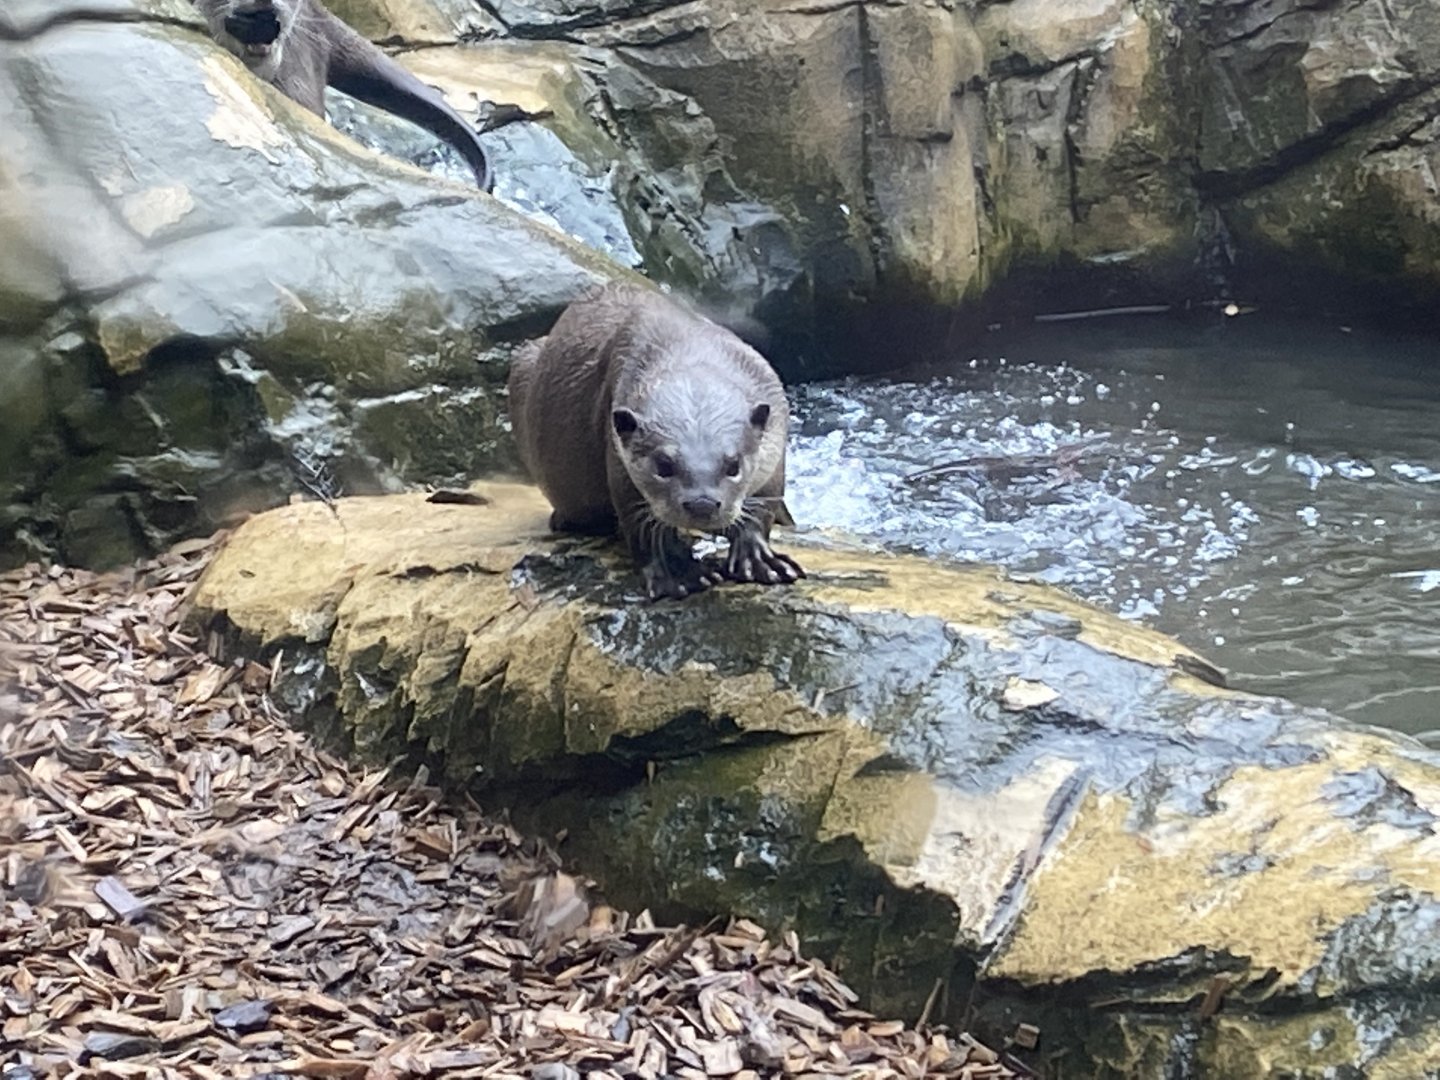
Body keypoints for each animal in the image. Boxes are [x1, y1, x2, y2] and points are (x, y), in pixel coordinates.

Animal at [509, 284, 805, 601]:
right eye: (663, 466)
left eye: (733, 465)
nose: (702, 503)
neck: (687, 347)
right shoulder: (617, 446)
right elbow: (641, 524)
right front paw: (679, 575)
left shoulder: (775, 439)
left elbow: (764, 503)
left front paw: (760, 560)